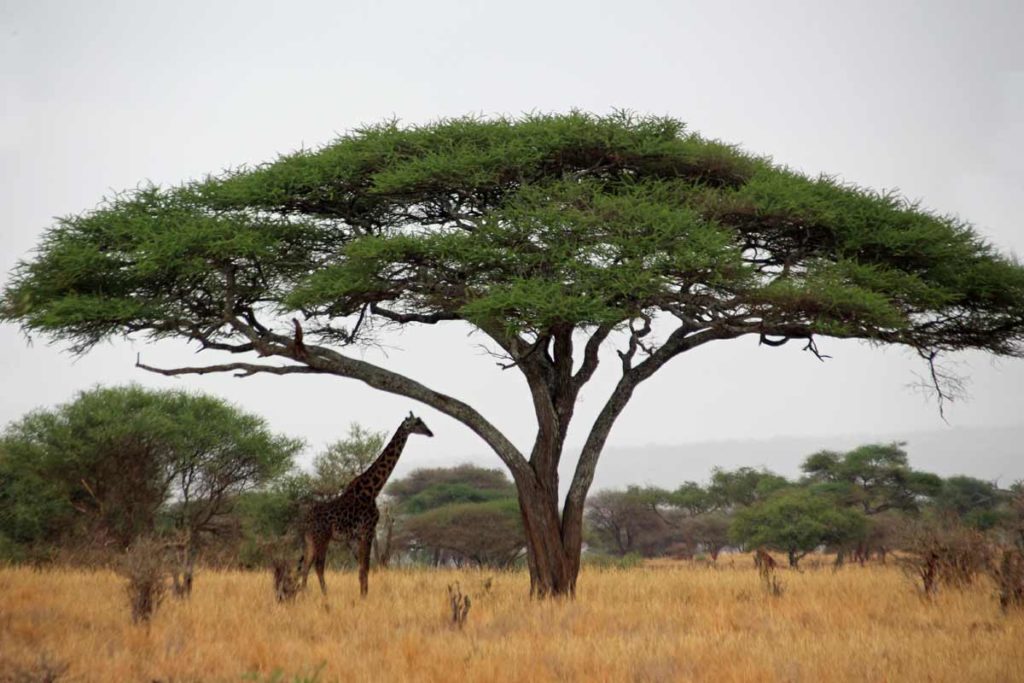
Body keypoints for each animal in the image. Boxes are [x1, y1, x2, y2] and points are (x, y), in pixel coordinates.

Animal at [298, 412, 433, 596]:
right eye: (418, 423)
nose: (430, 432)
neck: (373, 489)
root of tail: (305, 520)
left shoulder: (359, 535)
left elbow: (361, 569)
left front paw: (362, 594)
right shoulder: (368, 530)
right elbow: (366, 568)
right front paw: (364, 596)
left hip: (309, 539)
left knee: (305, 566)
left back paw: (303, 595)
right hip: (322, 537)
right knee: (318, 566)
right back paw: (325, 596)